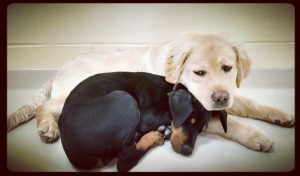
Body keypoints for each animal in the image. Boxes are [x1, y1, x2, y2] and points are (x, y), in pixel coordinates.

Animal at [58, 71, 225, 172]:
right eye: (189, 120)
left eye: (201, 130)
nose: (187, 151)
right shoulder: (147, 116)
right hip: (124, 99)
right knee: (125, 160)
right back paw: (154, 136)